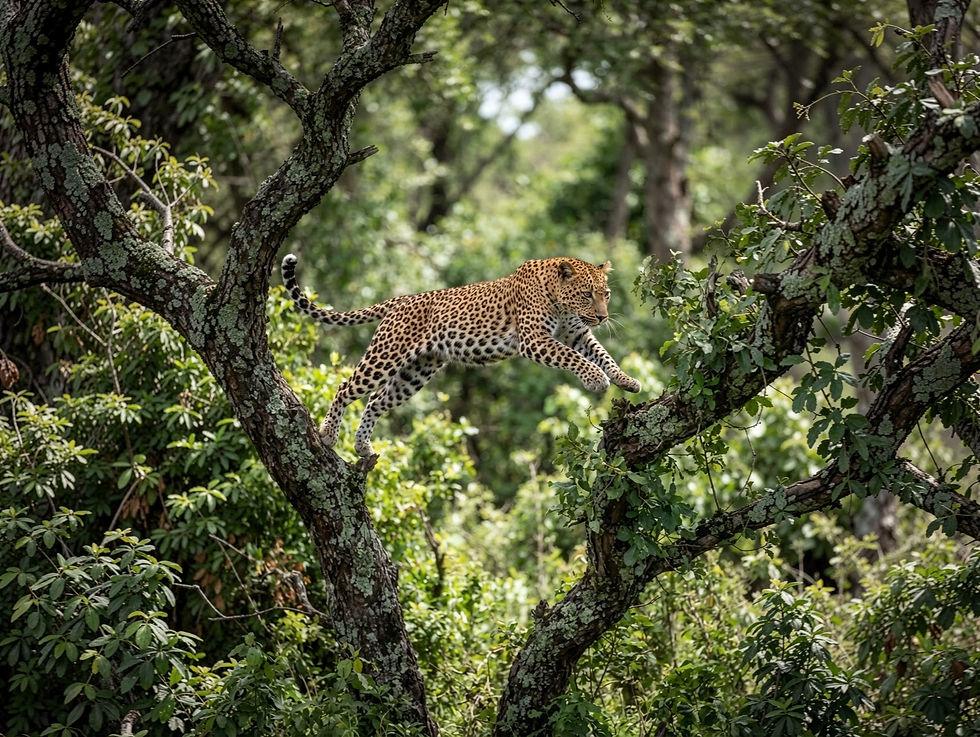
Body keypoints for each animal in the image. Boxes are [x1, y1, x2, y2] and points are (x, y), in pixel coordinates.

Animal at [281, 253, 641, 460]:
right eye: (587, 294)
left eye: (606, 294)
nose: (603, 317)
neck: (561, 302)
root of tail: (399, 300)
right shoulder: (534, 339)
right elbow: (571, 357)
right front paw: (595, 379)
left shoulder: (577, 333)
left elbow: (603, 354)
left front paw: (626, 380)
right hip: (385, 356)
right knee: (346, 387)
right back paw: (328, 435)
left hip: (415, 373)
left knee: (375, 401)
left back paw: (362, 446)